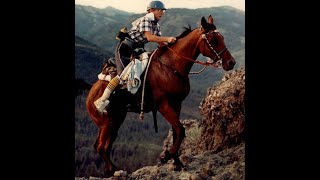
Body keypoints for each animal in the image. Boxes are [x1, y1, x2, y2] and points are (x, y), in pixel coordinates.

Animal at [86, 15, 236, 176]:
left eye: (222, 37)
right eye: (213, 39)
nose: (231, 63)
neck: (171, 66)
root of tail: (91, 93)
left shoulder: (177, 104)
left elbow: (177, 132)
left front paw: (176, 161)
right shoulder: (163, 105)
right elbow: (180, 130)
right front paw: (168, 156)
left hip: (115, 121)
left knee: (103, 147)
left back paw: (112, 170)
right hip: (108, 123)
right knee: (101, 147)